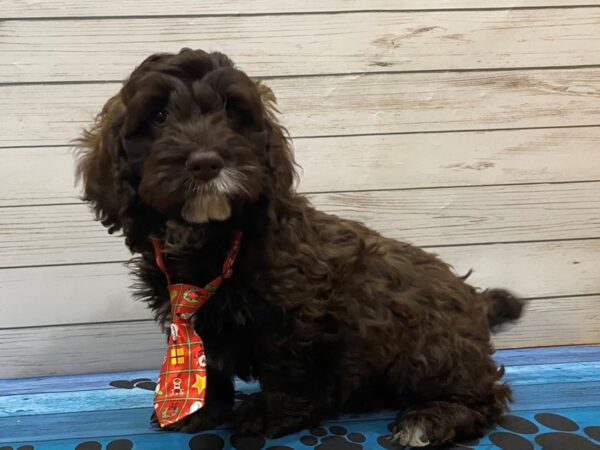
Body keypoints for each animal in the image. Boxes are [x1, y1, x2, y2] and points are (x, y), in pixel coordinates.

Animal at [77, 48, 524, 446]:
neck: (213, 238)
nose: (206, 162)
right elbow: (211, 361)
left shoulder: (296, 310)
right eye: (159, 117)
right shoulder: (194, 313)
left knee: (489, 395)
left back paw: (431, 419)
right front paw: (202, 409)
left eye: (233, 114)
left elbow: (285, 365)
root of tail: (475, 301)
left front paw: (270, 412)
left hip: (428, 345)